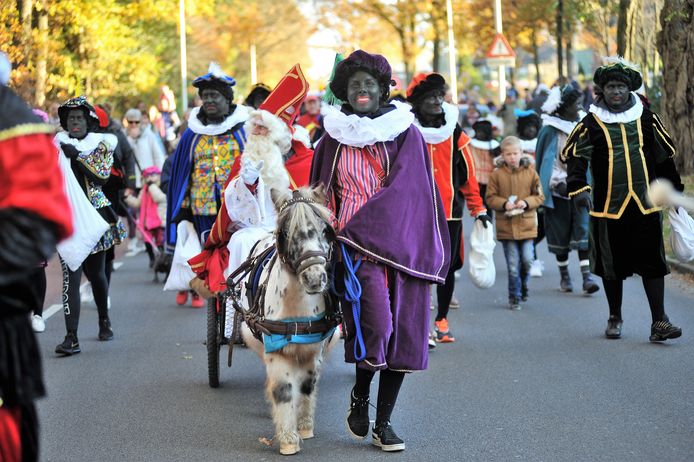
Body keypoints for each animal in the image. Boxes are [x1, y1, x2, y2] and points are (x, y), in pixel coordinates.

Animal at [241, 185, 342, 454]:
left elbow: (306, 386)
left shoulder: (313, 351)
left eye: (326, 231)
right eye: (285, 233)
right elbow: (283, 390)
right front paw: (288, 439)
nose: (315, 278)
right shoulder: (276, 351)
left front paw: (304, 427)